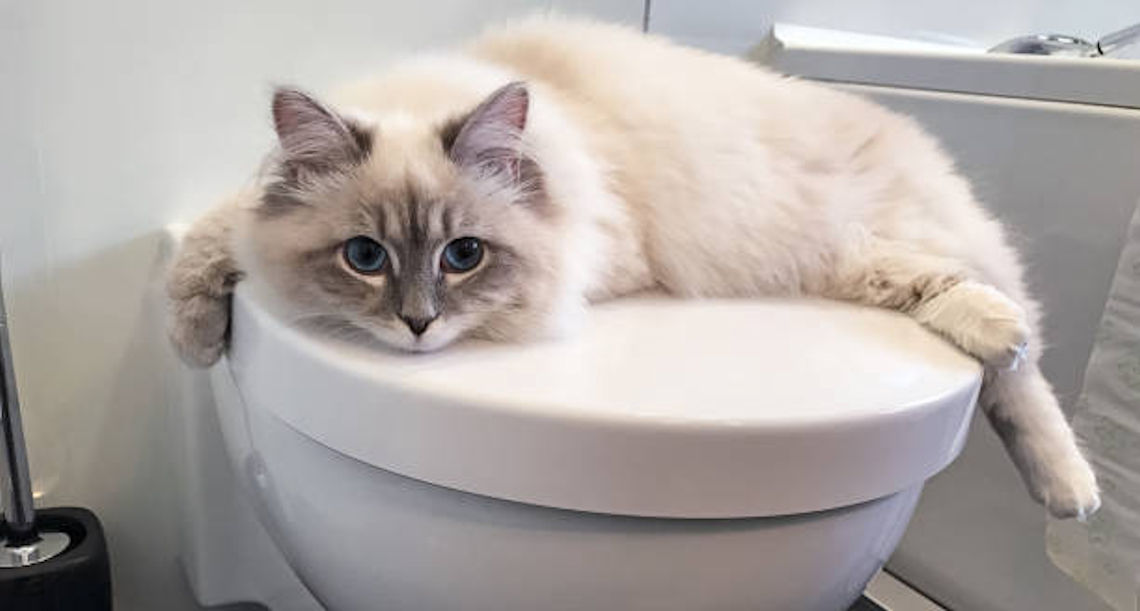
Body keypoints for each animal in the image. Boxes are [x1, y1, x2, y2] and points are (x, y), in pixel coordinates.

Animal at [166, 15, 1094, 519]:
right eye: (365, 257)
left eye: (463, 256)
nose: (418, 323)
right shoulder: (243, 218)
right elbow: (212, 242)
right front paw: (197, 338)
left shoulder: (599, 254)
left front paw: (193, 339)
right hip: (854, 260)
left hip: (906, 243)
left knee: (1021, 367)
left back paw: (1069, 482)